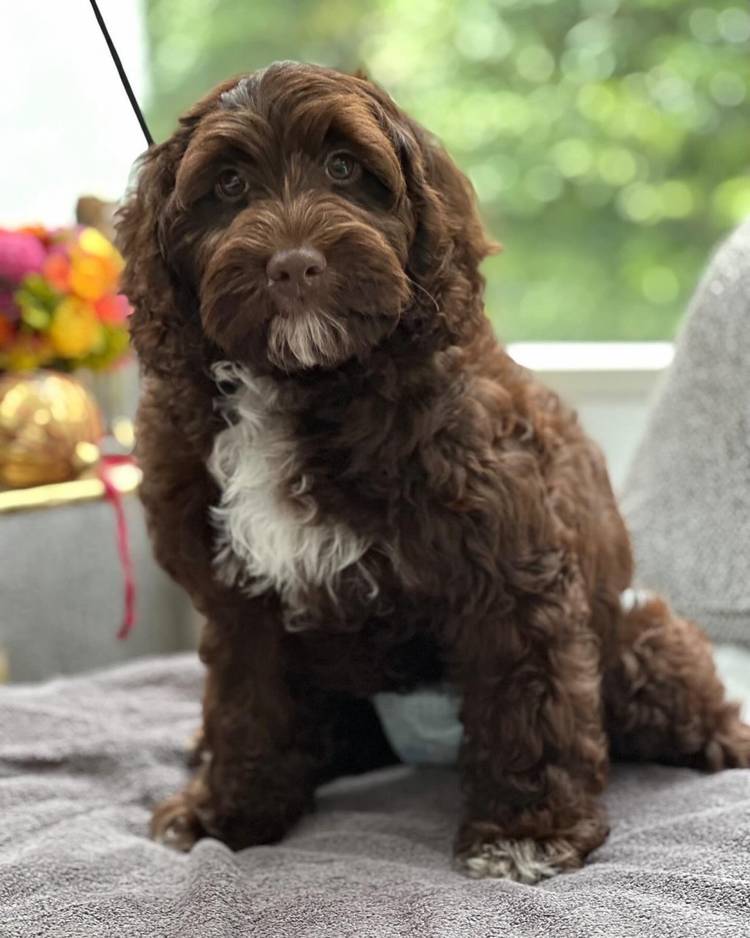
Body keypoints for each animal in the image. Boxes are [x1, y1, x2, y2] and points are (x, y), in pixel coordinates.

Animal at [117, 62, 750, 882]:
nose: (294, 265)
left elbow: (527, 701)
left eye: (344, 168)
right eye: (227, 185)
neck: (302, 385)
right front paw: (231, 810)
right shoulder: (238, 601)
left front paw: (524, 830)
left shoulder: (511, 573)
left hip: (641, 638)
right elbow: (247, 705)